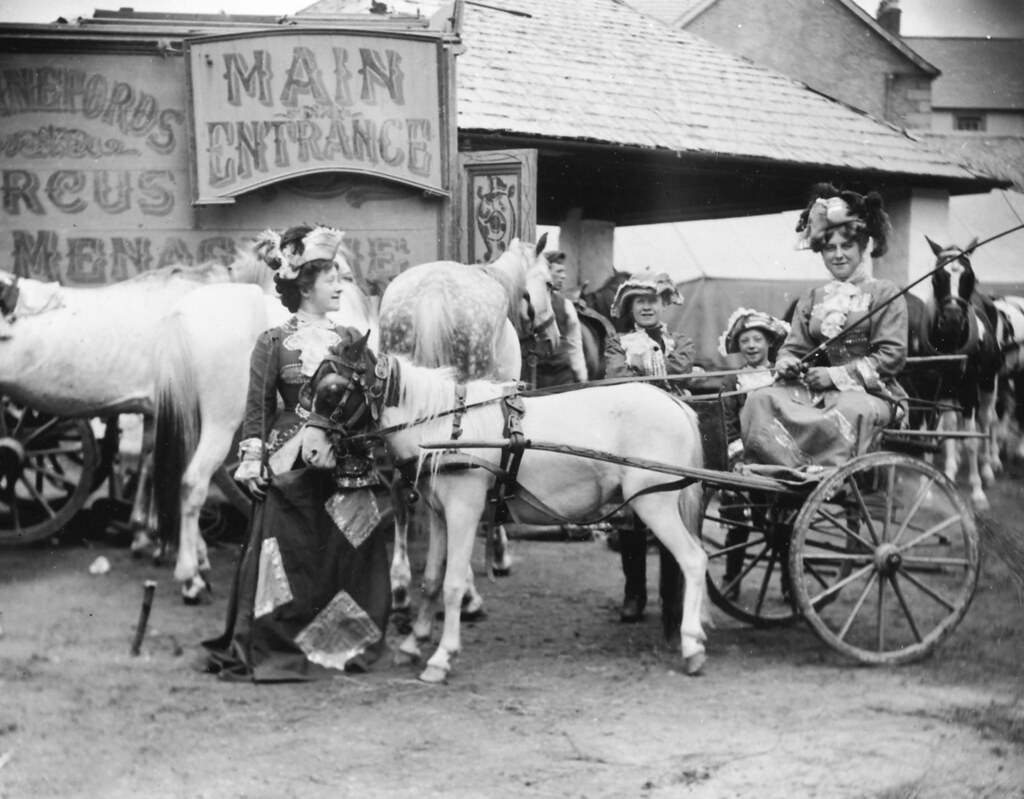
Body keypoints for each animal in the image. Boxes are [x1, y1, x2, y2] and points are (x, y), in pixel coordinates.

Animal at [299, 346, 708, 684]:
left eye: (333, 392)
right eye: (312, 387)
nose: (309, 452)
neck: (444, 427)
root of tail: (675, 403)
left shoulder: (464, 511)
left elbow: (452, 585)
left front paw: (442, 656)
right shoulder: (439, 514)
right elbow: (430, 580)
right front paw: (414, 642)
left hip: (654, 503)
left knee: (693, 559)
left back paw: (691, 645)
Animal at [905, 240, 999, 508]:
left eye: (969, 276)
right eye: (937, 276)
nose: (952, 320)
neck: (949, 344)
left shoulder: (968, 392)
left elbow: (971, 440)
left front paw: (977, 491)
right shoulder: (927, 389)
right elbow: (931, 435)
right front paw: (926, 489)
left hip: (987, 384)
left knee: (986, 421)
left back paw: (987, 468)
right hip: (948, 391)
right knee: (950, 425)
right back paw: (951, 466)